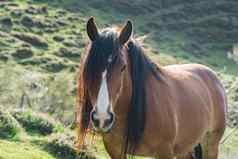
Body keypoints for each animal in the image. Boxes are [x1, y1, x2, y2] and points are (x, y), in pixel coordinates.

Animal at [76, 17, 227, 159]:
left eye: (123, 67)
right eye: (89, 66)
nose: (102, 118)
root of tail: (213, 76)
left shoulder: (164, 151)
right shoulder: (115, 151)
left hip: (211, 144)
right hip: (185, 147)